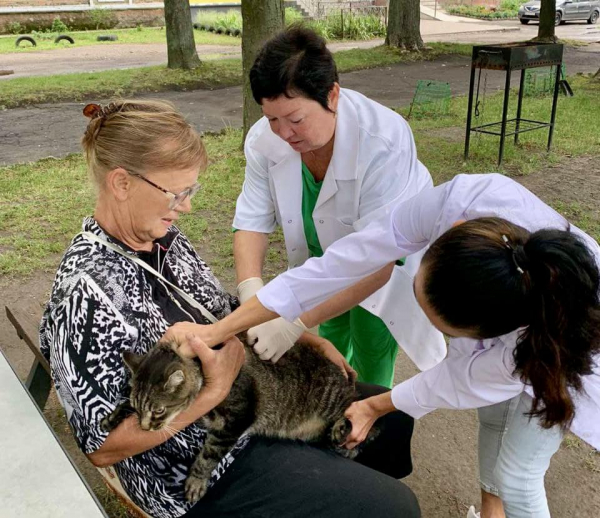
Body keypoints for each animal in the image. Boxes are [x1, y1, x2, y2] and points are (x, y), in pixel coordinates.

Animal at [101, 342, 364, 504]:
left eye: (159, 410)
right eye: (138, 407)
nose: (145, 428)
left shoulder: (235, 421)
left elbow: (208, 457)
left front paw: (196, 481)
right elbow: (124, 406)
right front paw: (112, 418)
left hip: (334, 402)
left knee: (358, 429)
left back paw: (344, 429)